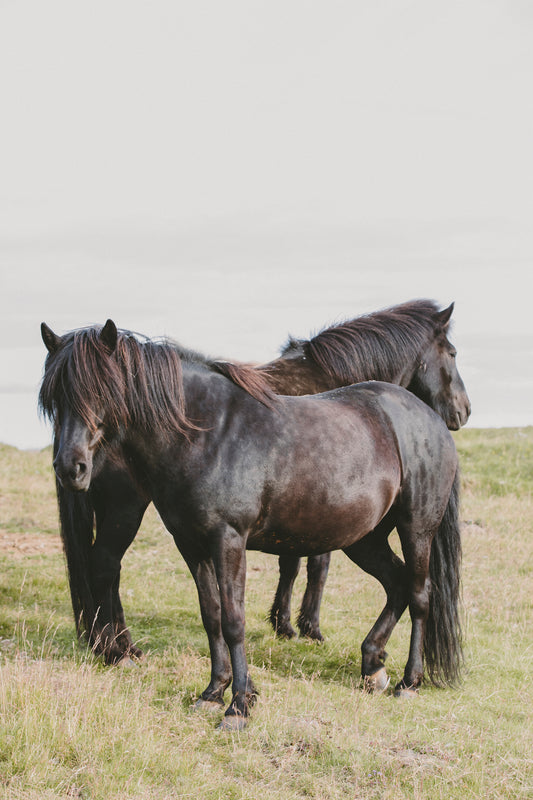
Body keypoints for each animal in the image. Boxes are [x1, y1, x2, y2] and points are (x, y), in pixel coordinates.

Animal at [40, 319, 463, 730]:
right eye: (54, 397)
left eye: (102, 389)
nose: (70, 467)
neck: (206, 433)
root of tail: (430, 420)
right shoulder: (191, 545)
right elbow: (211, 616)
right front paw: (214, 692)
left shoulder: (228, 540)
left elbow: (233, 620)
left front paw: (239, 706)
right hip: (364, 539)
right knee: (397, 584)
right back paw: (373, 665)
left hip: (416, 528)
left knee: (420, 594)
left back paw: (409, 682)